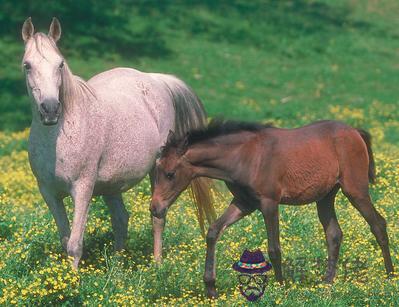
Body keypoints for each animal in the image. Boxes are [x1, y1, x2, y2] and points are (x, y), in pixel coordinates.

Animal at [21, 18, 216, 268]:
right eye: (27, 65)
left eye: (60, 64)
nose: (50, 109)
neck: (58, 138)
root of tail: (156, 79)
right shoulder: (49, 193)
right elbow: (65, 241)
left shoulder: (82, 189)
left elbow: (75, 244)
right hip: (111, 185)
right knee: (121, 219)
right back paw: (116, 266)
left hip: (157, 171)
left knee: (157, 217)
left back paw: (157, 265)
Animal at [151, 119, 396, 298]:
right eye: (157, 169)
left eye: (170, 174)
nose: (155, 208)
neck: (245, 156)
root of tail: (355, 131)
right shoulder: (244, 203)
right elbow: (213, 231)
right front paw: (211, 288)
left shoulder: (269, 203)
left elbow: (274, 248)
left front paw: (280, 287)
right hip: (326, 197)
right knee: (334, 233)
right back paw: (327, 283)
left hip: (355, 190)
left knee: (378, 224)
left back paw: (390, 276)